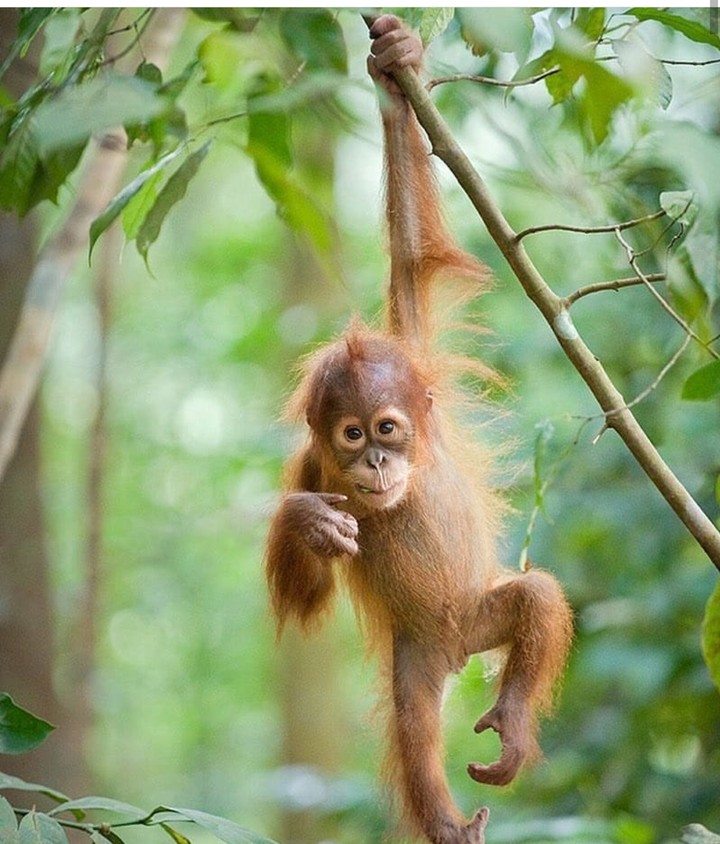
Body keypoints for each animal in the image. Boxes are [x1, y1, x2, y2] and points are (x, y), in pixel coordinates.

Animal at [264, 14, 573, 844]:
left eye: (389, 428)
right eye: (350, 437)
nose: (373, 464)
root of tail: (457, 645)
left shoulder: (416, 350)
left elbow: (409, 255)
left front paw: (396, 63)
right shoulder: (311, 468)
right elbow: (305, 597)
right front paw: (309, 524)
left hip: (478, 612)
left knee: (537, 598)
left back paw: (512, 726)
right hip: (417, 655)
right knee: (411, 725)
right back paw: (448, 823)